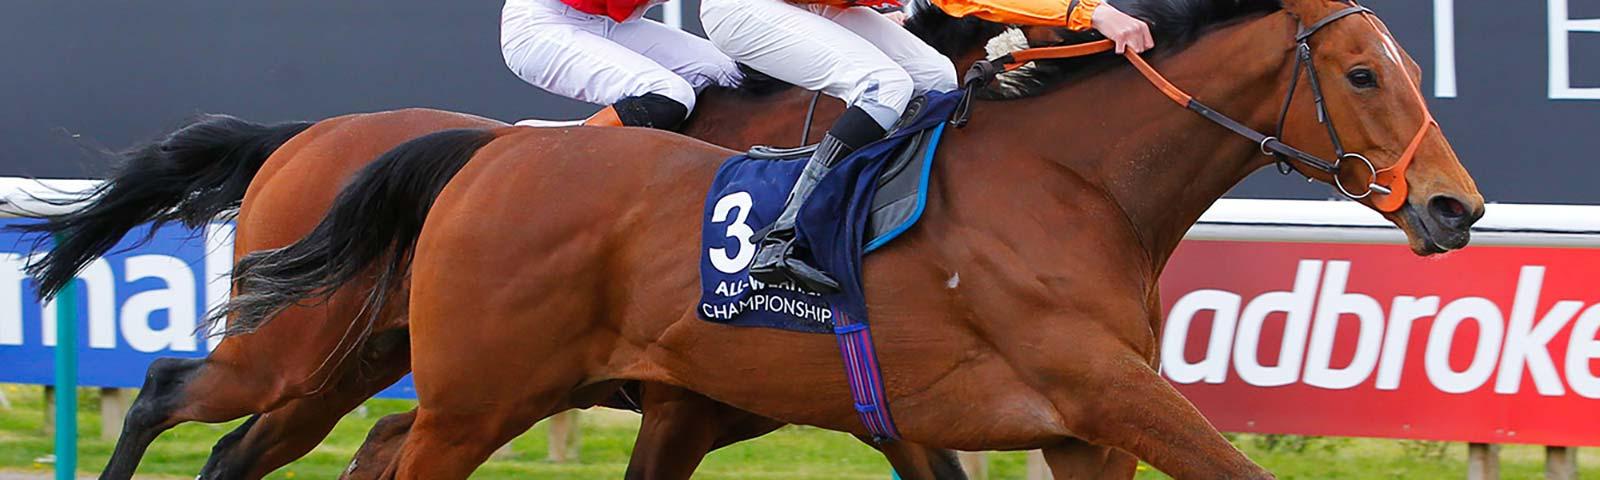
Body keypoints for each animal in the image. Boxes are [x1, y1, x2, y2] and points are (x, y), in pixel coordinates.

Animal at [14, 36, 997, 478]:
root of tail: (304, 135)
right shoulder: (682, 404)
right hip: (291, 351)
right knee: (163, 391)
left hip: (345, 371)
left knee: (235, 451)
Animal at [223, 0, 1483, 477]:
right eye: (1362, 72)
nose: (1453, 207)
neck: (1071, 186)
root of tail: (490, 156)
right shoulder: (1103, 390)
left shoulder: (1074, 431)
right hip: (454, 391)